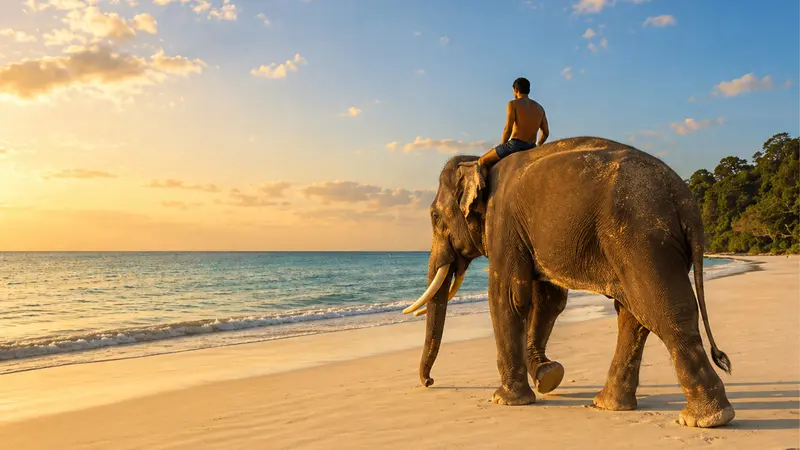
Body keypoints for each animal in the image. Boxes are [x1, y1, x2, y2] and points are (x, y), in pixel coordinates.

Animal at [402, 136, 735, 428]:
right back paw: (609, 404)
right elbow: (549, 300)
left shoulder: (503, 223)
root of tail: (686, 201)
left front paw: (506, 399)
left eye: (434, 217)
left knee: (662, 311)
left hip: (643, 239)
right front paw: (548, 375)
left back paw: (707, 419)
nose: (429, 381)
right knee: (634, 314)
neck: (480, 162)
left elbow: (507, 295)